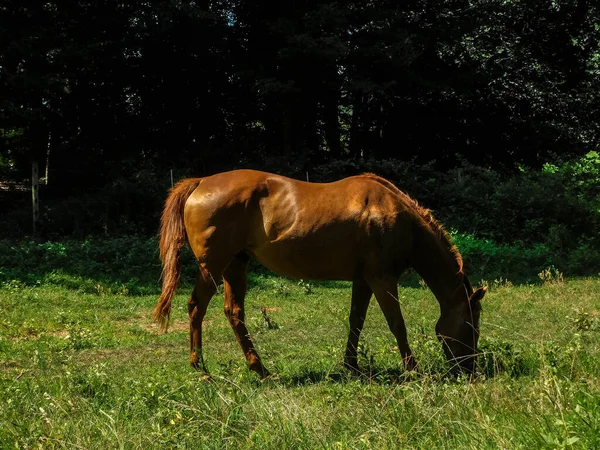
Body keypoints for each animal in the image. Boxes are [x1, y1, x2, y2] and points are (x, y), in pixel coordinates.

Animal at [152, 168, 486, 376]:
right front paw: (413, 370)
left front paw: (351, 367)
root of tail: (201, 182)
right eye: (471, 327)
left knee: (234, 313)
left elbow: (356, 322)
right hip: (213, 267)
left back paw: (260, 369)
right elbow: (397, 324)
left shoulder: (363, 280)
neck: (394, 215)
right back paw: (200, 367)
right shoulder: (382, 278)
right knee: (196, 307)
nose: (469, 369)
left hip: (235, 265)